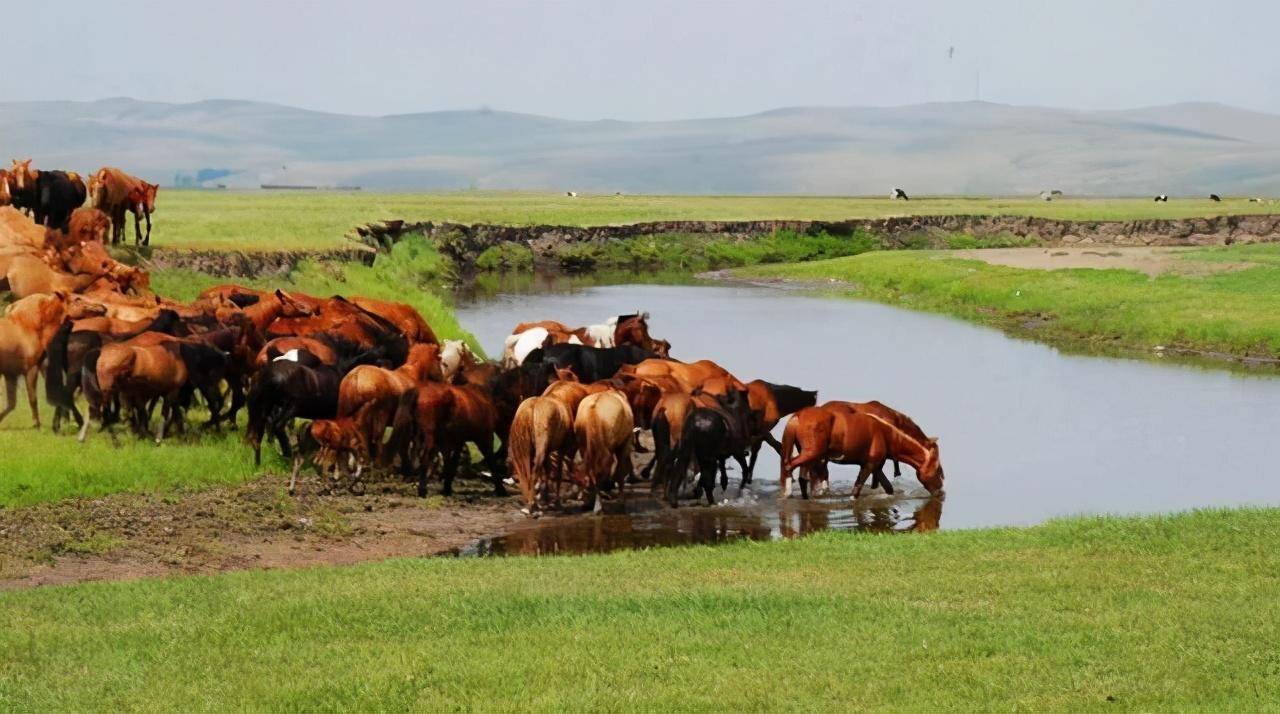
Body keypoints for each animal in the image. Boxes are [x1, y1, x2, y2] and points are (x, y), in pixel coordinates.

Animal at [0, 294, 104, 427]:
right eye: (77, 299)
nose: (102, 307)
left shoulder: (11, 373)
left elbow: (10, 404)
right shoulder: (31, 368)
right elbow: (32, 399)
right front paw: (37, 424)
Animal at [773, 406, 947, 501]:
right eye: (938, 471)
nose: (941, 492)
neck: (886, 433)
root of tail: (798, 416)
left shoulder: (875, 466)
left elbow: (888, 488)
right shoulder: (869, 465)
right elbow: (856, 489)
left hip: (810, 456)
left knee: (803, 477)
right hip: (811, 454)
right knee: (788, 466)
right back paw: (788, 494)